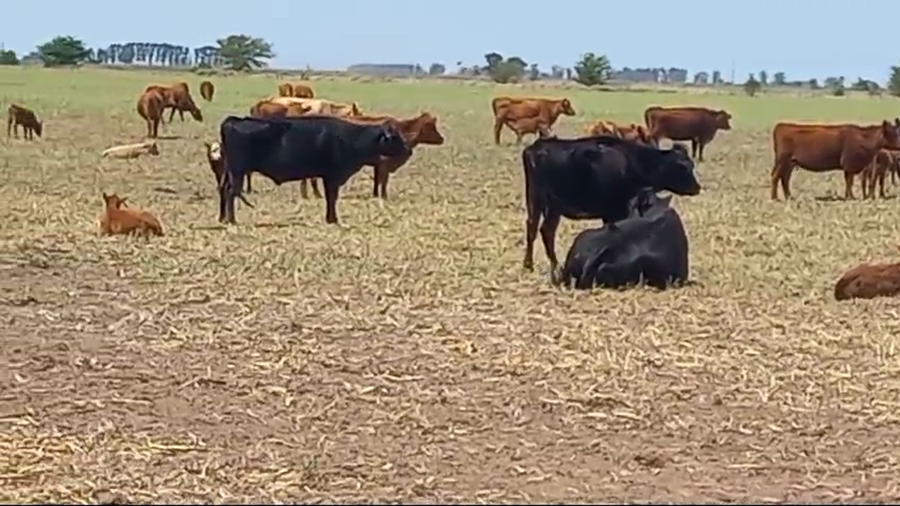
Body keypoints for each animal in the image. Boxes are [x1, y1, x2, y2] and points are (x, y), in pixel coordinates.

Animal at [217, 115, 411, 225]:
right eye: (395, 137)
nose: (408, 149)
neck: (350, 138)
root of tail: (233, 120)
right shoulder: (332, 176)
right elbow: (332, 197)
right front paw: (332, 219)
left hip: (229, 172)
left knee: (223, 190)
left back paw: (223, 218)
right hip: (238, 171)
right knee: (231, 192)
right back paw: (232, 220)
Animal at [300, 112, 445, 200]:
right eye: (431, 127)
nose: (442, 139)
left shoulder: (378, 164)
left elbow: (377, 180)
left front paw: (376, 195)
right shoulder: (385, 163)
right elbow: (384, 181)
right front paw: (384, 196)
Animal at [522, 135, 701, 274]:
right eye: (684, 166)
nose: (697, 187)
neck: (635, 162)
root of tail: (536, 148)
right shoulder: (615, 210)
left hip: (537, 202)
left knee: (533, 228)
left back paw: (529, 265)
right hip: (551, 205)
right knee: (545, 231)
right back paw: (553, 265)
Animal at [770, 120, 900, 200]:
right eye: (895, 133)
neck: (863, 139)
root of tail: (781, 126)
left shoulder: (849, 167)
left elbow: (849, 181)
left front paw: (848, 196)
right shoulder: (849, 164)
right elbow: (850, 181)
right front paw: (851, 197)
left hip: (790, 163)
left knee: (785, 178)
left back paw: (789, 196)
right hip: (782, 161)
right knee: (776, 176)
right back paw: (774, 198)